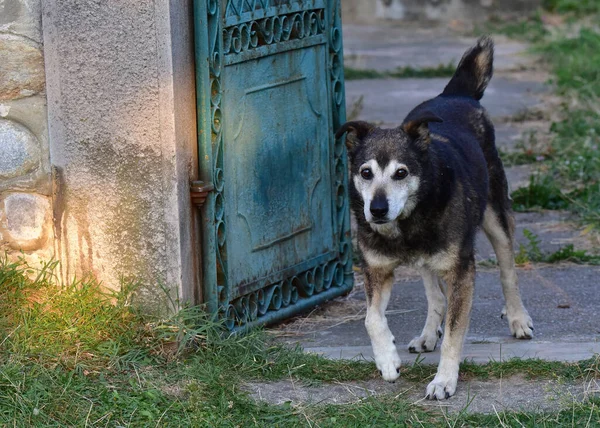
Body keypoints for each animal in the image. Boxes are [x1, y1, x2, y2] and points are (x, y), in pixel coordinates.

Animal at [338, 35, 536, 400]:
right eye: (365, 172)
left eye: (401, 173)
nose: (377, 209)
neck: (407, 222)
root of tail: (455, 95)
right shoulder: (376, 268)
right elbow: (372, 318)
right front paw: (388, 360)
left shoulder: (461, 271)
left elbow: (456, 334)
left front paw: (444, 381)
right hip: (428, 259)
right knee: (435, 295)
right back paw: (428, 335)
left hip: (496, 214)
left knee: (508, 271)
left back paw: (518, 318)